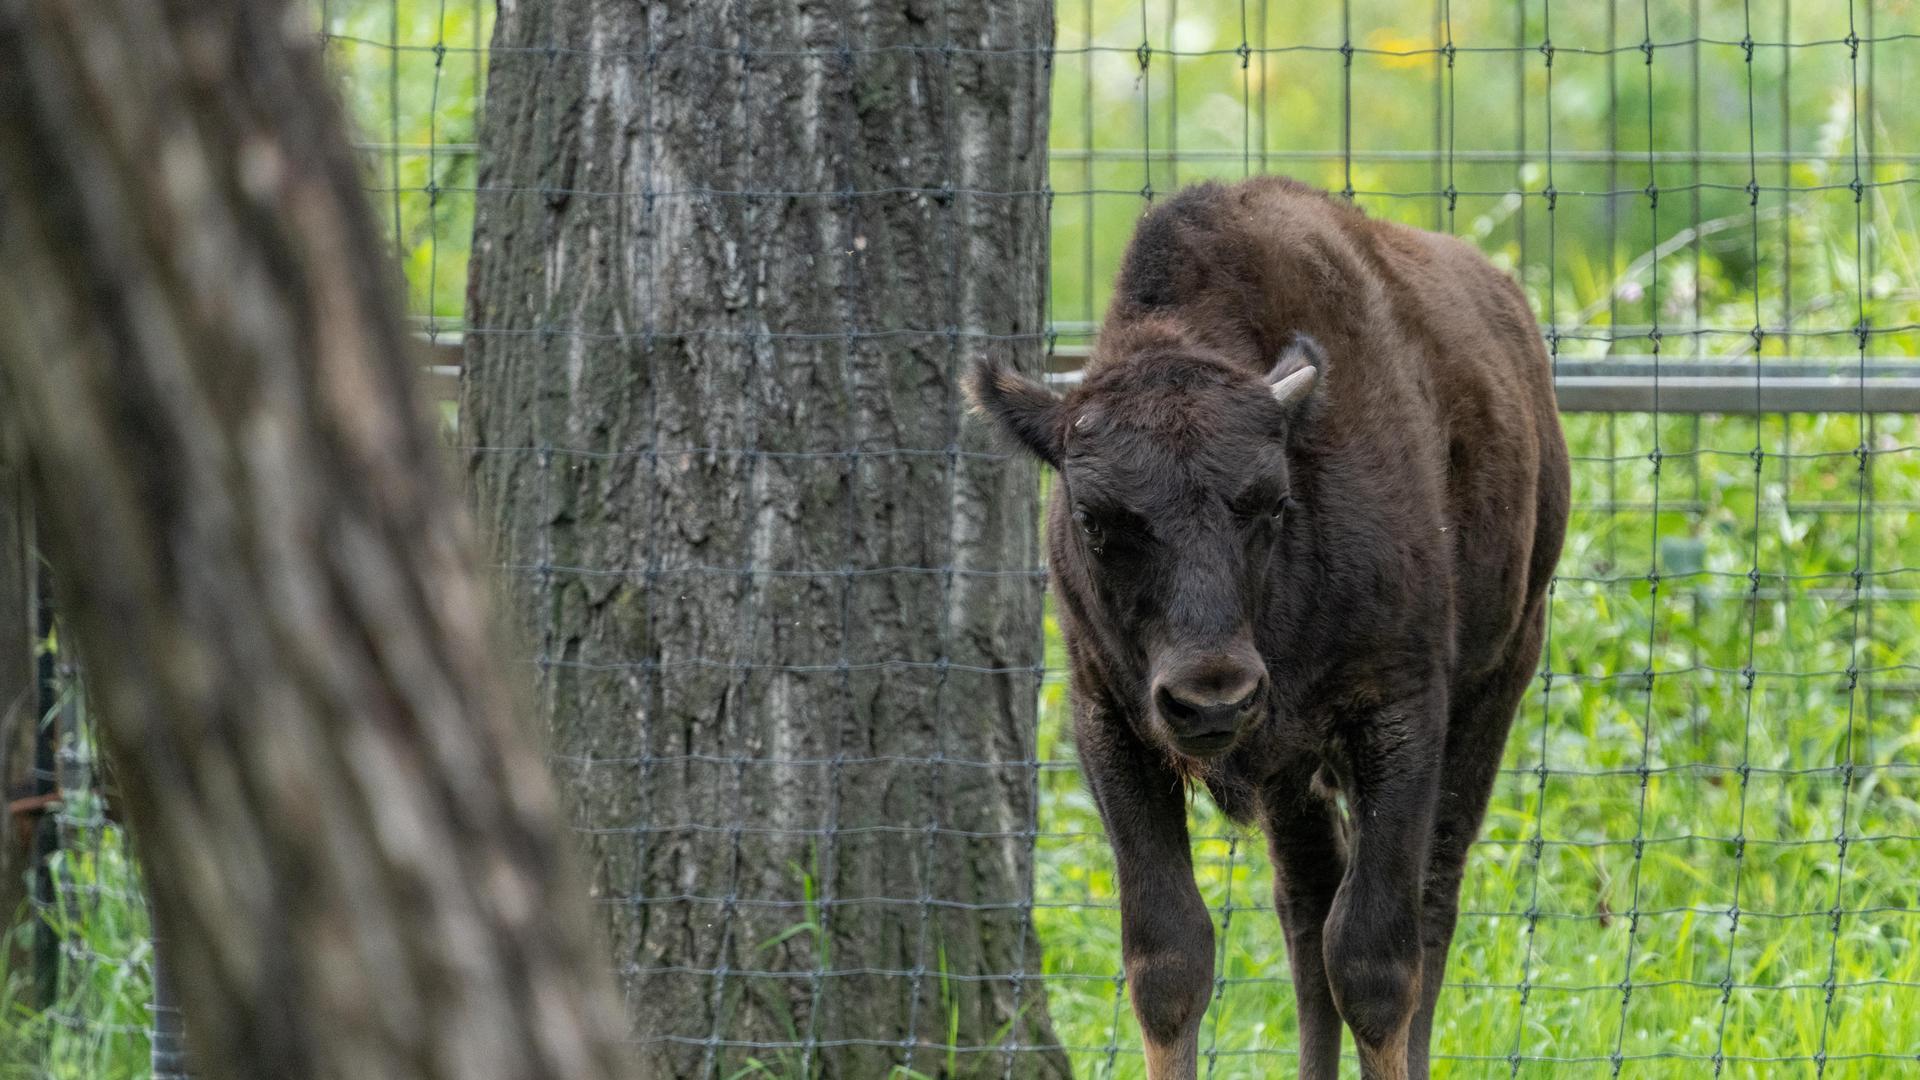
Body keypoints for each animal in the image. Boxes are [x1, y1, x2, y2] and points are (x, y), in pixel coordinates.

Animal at [967, 176, 1570, 1080]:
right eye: (1094, 518)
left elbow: (1375, 960)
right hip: (1290, 771)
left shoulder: (1401, 713)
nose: (1212, 698)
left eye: (1272, 501)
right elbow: (1170, 958)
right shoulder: (1112, 722)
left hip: (1500, 676)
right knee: (1306, 908)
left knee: (1430, 900)